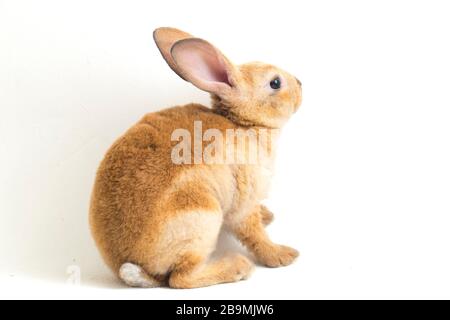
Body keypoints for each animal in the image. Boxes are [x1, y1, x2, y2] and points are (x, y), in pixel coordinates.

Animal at [89, 26, 302, 288]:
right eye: (275, 83)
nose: (301, 84)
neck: (244, 124)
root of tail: (134, 266)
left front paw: (267, 215)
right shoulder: (243, 203)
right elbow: (255, 234)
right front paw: (283, 256)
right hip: (202, 219)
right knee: (180, 279)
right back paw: (237, 267)